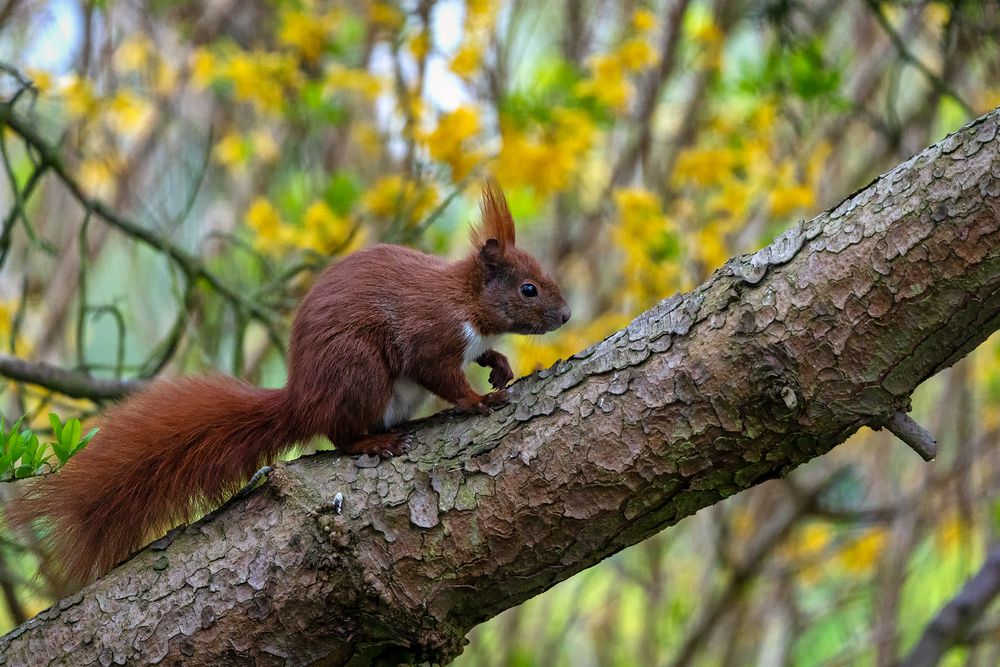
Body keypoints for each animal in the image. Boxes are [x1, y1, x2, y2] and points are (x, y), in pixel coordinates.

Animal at [5, 180, 572, 588]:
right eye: (528, 289)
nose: (566, 315)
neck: (468, 301)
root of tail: (303, 400)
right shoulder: (430, 334)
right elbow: (443, 376)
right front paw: (479, 399)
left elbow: (483, 355)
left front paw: (499, 365)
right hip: (360, 371)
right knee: (340, 434)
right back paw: (374, 442)